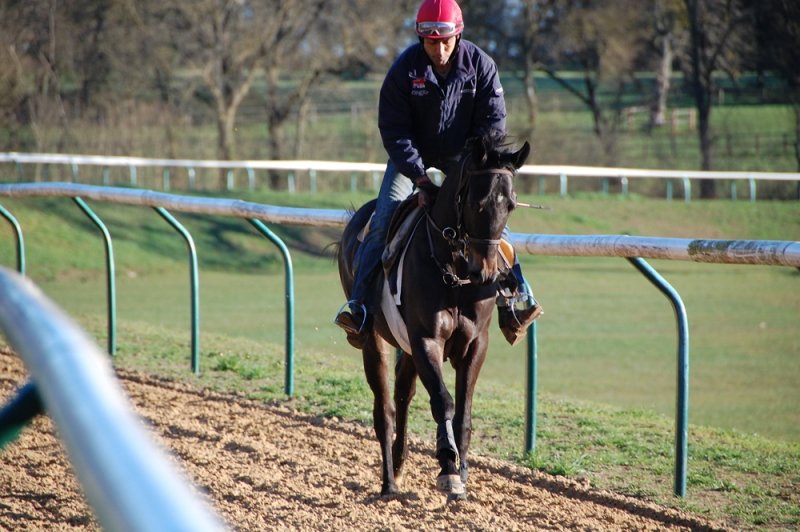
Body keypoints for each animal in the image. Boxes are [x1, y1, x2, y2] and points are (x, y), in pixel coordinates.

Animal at [337, 135, 530, 500]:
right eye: (477, 202)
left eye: (511, 204)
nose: (486, 273)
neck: (455, 272)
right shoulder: (426, 339)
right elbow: (443, 402)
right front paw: (448, 469)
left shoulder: (475, 344)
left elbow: (463, 415)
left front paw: (462, 472)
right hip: (374, 339)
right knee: (385, 409)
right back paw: (388, 483)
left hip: (407, 347)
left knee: (403, 394)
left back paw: (400, 464)